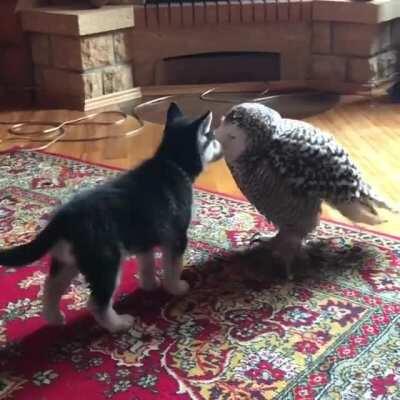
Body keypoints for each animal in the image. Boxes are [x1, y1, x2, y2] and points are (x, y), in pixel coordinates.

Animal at [0, 102, 222, 332]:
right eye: (213, 137)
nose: (221, 146)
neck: (172, 162)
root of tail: (64, 216)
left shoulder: (146, 238)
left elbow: (147, 264)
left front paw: (149, 285)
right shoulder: (177, 237)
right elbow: (173, 266)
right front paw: (176, 287)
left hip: (68, 261)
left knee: (50, 287)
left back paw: (55, 319)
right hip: (106, 263)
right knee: (96, 303)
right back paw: (118, 324)